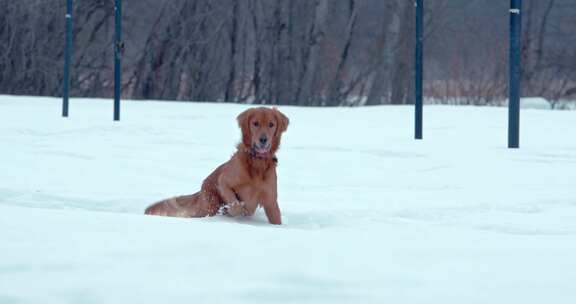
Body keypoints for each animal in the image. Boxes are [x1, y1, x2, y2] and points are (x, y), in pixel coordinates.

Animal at [144, 106, 288, 223]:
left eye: (271, 124)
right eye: (255, 123)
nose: (263, 140)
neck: (257, 162)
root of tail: (200, 190)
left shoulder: (271, 200)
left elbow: (276, 219)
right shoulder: (223, 182)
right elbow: (235, 204)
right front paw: (232, 210)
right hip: (210, 202)